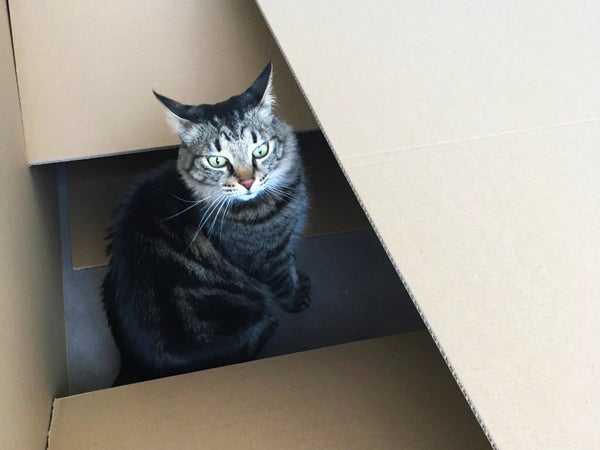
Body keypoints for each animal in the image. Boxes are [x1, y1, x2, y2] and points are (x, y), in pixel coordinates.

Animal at [101, 62, 310, 386]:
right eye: (217, 161)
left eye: (260, 151)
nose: (247, 182)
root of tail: (135, 365)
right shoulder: (267, 256)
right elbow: (285, 281)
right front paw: (298, 298)